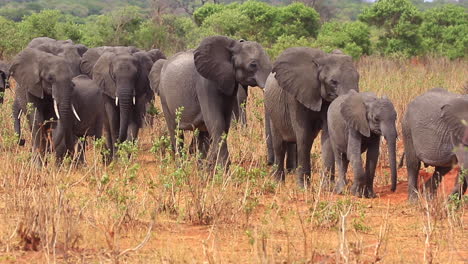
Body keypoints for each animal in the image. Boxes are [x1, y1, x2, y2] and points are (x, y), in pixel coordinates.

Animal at [157, 35, 272, 166]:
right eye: (253, 64)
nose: (269, 163)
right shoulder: (204, 84)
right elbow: (217, 123)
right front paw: (223, 168)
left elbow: (225, 124)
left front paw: (211, 166)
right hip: (164, 98)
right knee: (176, 131)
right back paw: (181, 166)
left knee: (202, 134)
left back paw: (200, 166)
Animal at [266, 48, 360, 188]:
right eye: (333, 82)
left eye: (358, 78)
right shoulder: (295, 97)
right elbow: (304, 136)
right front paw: (303, 187)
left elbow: (327, 137)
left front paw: (327, 187)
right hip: (273, 111)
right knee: (279, 145)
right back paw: (278, 183)